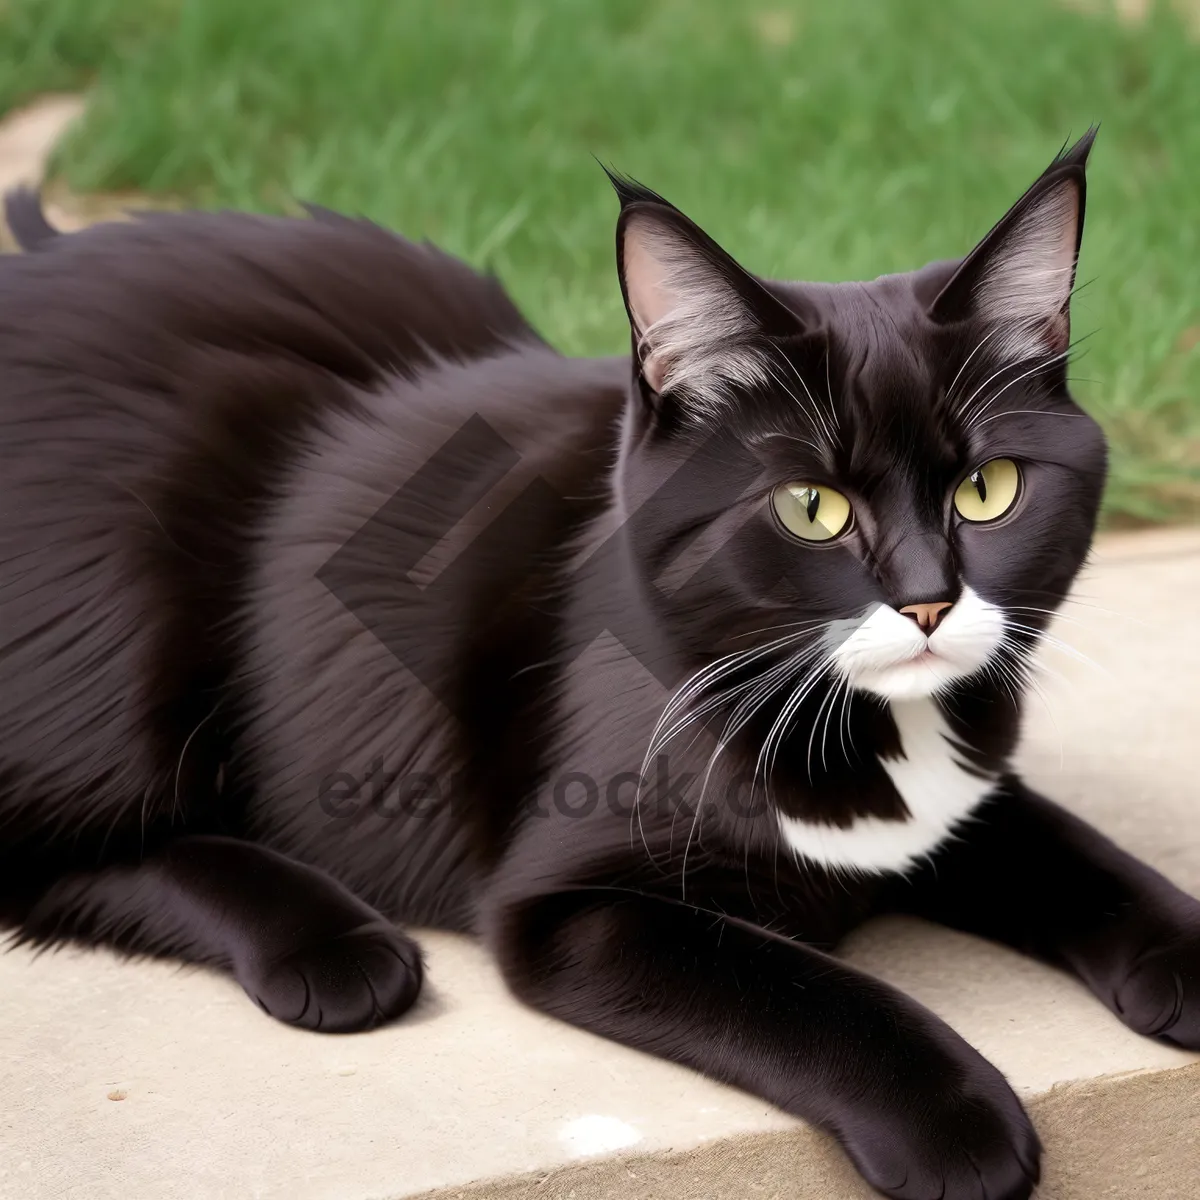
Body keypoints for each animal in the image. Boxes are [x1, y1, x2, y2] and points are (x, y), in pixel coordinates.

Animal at [0, 131, 1195, 1200]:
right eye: (810, 506)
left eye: (989, 489)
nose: (928, 600)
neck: (867, 726)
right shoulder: (569, 908)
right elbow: (798, 985)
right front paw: (955, 1120)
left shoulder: (964, 798)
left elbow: (1079, 852)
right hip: (118, 607)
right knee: (51, 851)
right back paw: (330, 944)